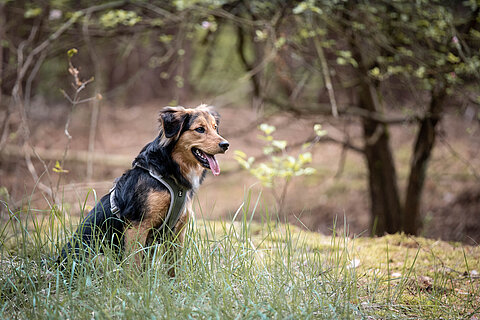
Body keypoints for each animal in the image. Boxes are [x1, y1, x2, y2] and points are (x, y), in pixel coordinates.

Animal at [59, 105, 229, 276]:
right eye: (200, 129)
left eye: (215, 128)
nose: (226, 145)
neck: (169, 173)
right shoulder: (138, 226)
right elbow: (134, 265)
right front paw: (135, 283)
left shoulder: (177, 231)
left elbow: (174, 267)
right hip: (100, 258)